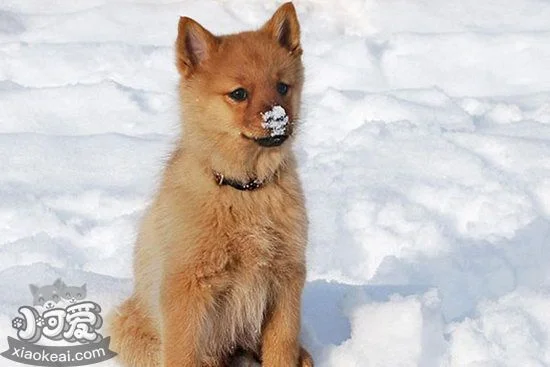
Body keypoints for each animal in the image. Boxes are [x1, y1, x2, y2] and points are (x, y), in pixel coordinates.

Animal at [109, 2, 312, 367]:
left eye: (283, 87)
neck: (244, 191)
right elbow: (182, 353)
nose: (278, 119)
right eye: (238, 94)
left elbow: (282, 347)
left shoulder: (286, 279)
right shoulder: (187, 289)